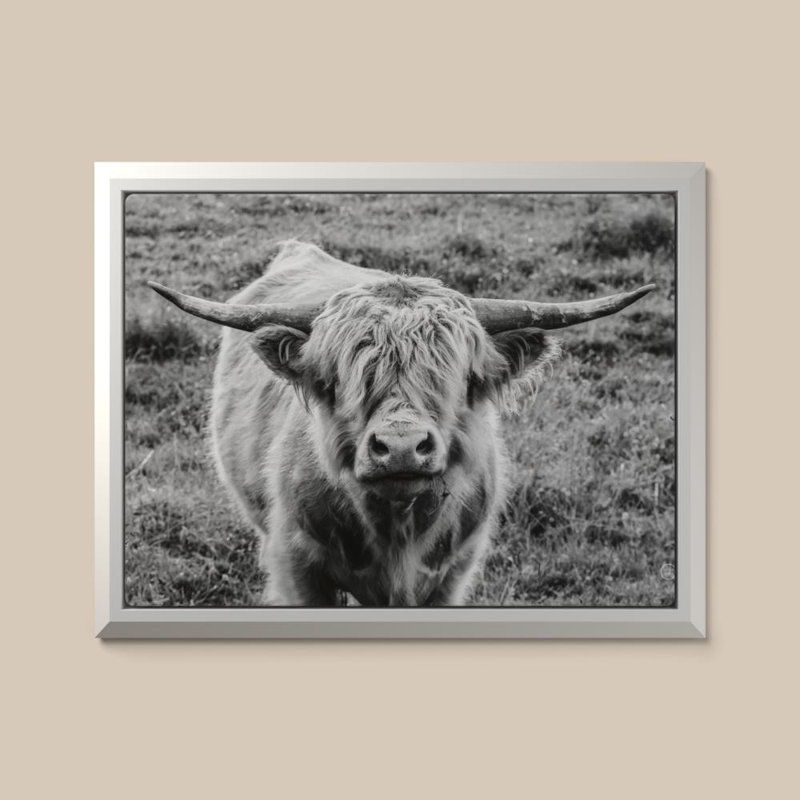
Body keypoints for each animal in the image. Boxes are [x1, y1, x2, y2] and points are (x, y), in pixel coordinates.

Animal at [149, 241, 653, 606]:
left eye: (460, 377)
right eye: (341, 378)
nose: (402, 447)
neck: (397, 531)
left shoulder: (453, 574)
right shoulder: (298, 567)